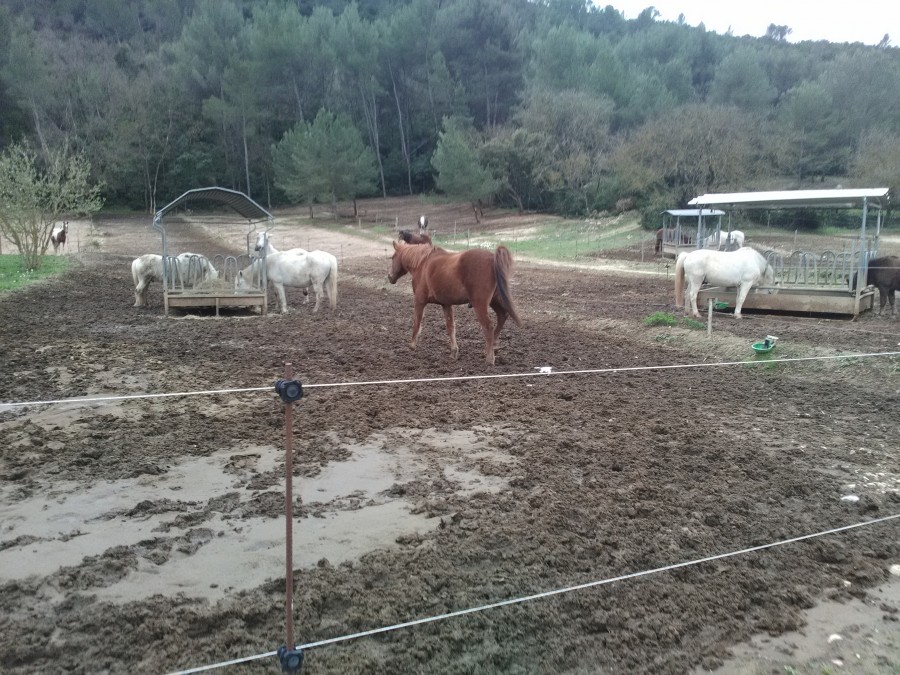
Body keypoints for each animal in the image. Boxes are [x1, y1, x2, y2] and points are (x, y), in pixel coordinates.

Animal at [387, 241, 521, 365]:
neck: (422, 263)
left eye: (393, 257)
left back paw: (489, 358)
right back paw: (491, 348)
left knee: (488, 327)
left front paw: (412, 346)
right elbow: (450, 327)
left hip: (480, 304)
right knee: (502, 316)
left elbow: (417, 322)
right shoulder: (446, 304)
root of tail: (492, 258)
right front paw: (453, 352)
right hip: (494, 300)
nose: (390, 277)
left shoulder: (419, 301)